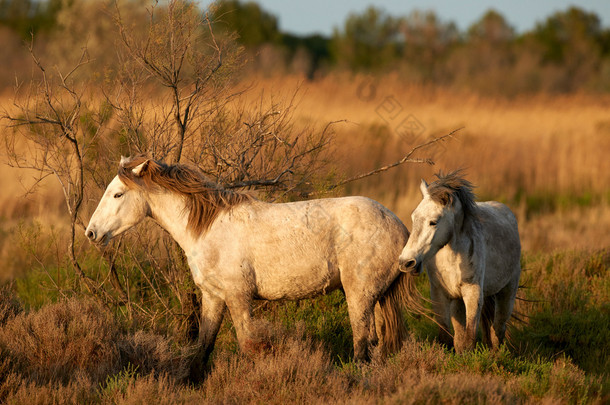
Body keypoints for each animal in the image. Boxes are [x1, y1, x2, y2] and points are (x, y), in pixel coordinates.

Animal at [85, 155, 416, 370]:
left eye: (118, 194)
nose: (91, 233)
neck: (209, 228)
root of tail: (400, 227)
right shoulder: (213, 297)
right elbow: (202, 348)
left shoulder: (238, 297)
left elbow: (247, 345)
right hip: (377, 297)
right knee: (377, 345)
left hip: (359, 295)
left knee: (363, 344)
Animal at [396, 170, 520, 350]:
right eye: (413, 218)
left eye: (433, 222)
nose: (406, 263)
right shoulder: (440, 294)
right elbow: (449, 338)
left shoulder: (472, 294)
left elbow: (469, 338)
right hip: (459, 301)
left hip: (507, 291)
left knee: (498, 328)